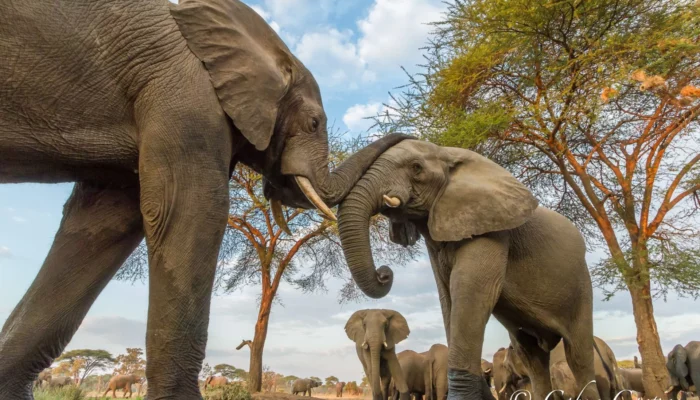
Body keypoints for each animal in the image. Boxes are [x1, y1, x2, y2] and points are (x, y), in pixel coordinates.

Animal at [337, 140, 601, 400]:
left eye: (416, 168)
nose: (384, 273)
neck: (448, 155)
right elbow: (448, 301)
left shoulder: (491, 228)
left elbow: (470, 294)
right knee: (532, 357)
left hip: (581, 286)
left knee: (578, 356)